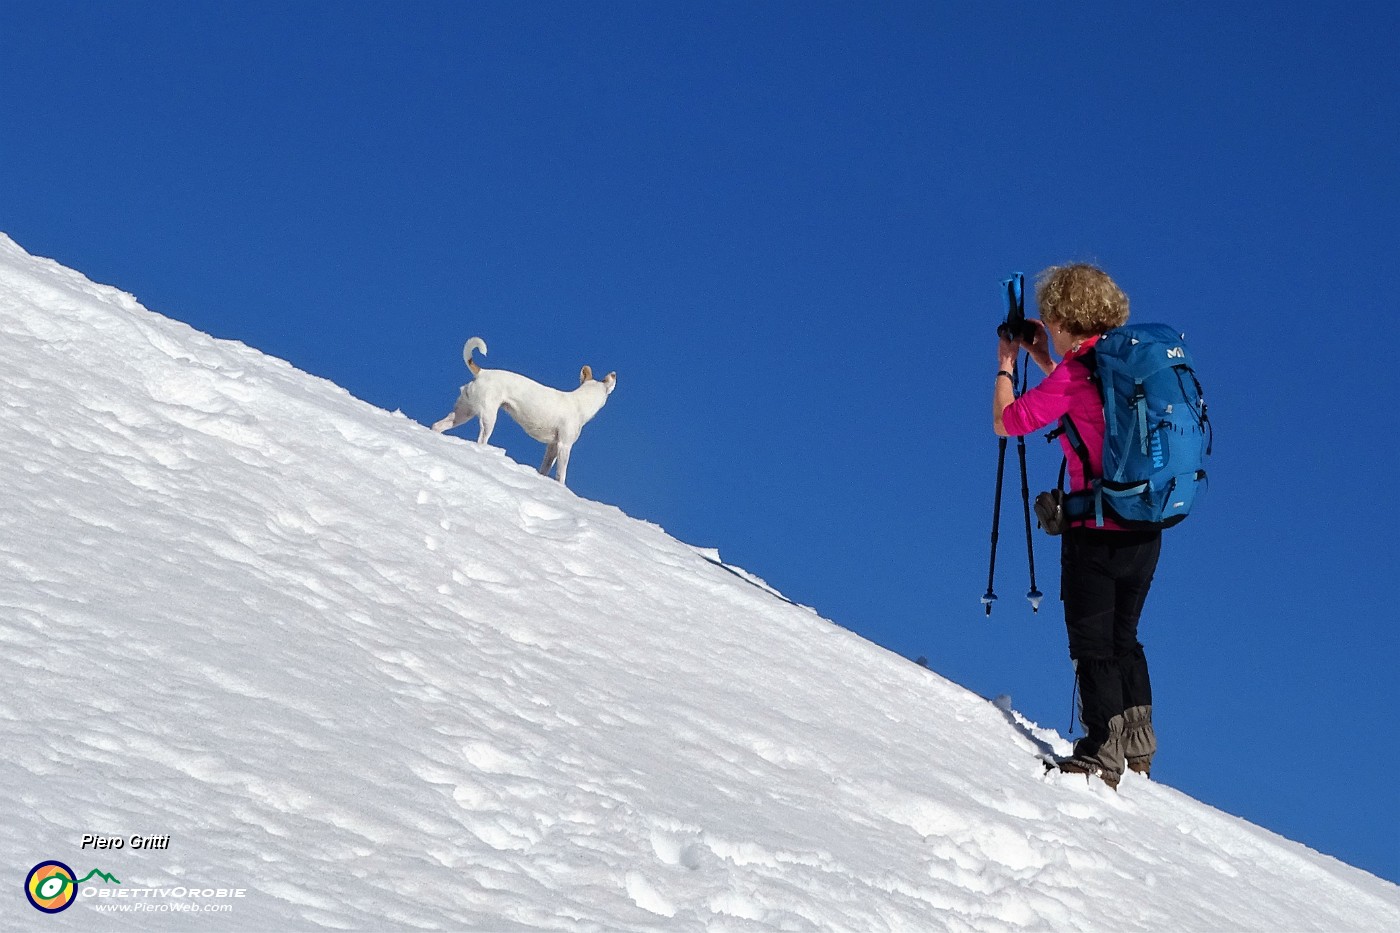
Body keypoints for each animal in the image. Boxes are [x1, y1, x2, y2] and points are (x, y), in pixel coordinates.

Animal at [431, 336, 618, 487]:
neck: (580, 402)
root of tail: (482, 372)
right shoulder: (564, 445)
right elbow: (561, 474)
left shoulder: (552, 447)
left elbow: (544, 469)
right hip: (488, 418)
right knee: (481, 440)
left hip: (463, 412)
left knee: (438, 426)